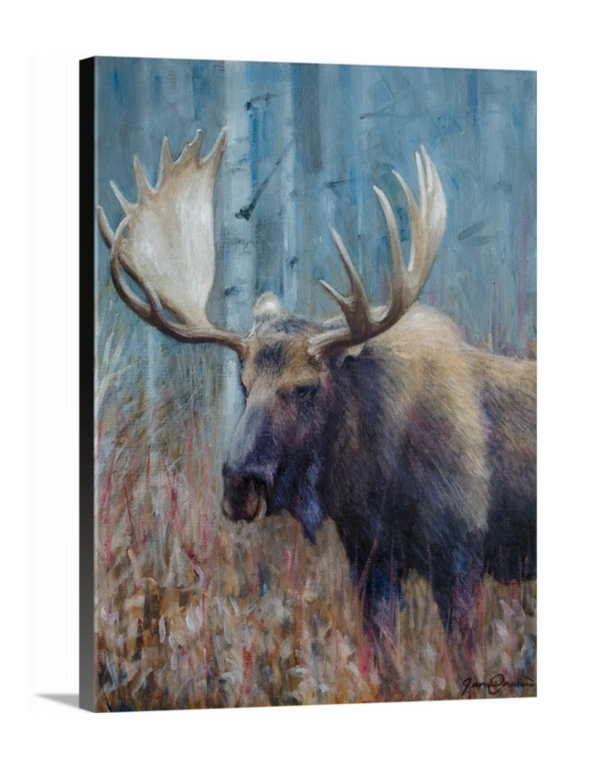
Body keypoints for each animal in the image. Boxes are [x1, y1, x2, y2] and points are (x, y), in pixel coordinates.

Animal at [97, 128, 536, 645]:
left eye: (306, 387)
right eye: (243, 384)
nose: (239, 482)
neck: (370, 479)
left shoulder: (460, 554)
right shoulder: (370, 557)